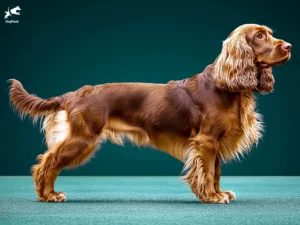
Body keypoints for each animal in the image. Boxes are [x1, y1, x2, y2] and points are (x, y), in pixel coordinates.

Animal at [8, 23, 290, 203]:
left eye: (270, 34)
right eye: (260, 36)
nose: (288, 46)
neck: (226, 85)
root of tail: (74, 94)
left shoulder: (215, 142)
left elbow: (216, 172)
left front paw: (219, 193)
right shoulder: (206, 140)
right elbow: (209, 172)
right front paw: (212, 196)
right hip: (82, 138)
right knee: (48, 163)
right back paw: (48, 196)